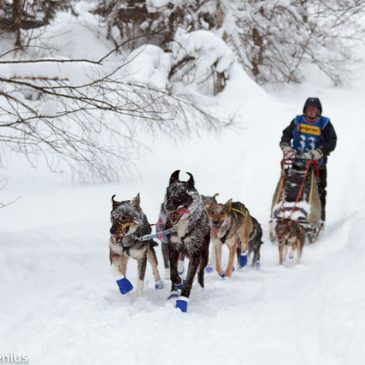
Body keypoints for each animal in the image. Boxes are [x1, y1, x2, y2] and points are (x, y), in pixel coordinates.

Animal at [161, 169, 209, 312]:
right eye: (169, 193)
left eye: (182, 194)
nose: (168, 207)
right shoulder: (173, 249)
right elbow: (173, 274)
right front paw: (178, 283)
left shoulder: (195, 254)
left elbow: (189, 279)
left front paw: (183, 299)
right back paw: (173, 293)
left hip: (204, 255)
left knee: (200, 273)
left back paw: (201, 288)